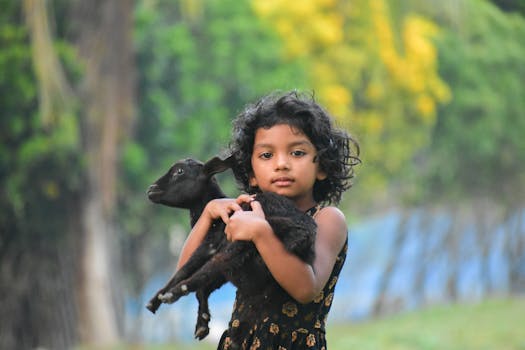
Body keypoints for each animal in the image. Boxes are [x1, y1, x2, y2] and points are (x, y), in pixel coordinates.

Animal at [144, 156, 316, 342]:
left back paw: (174, 294)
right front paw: (202, 324)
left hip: (239, 243)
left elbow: (184, 270)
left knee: (209, 269)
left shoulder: (209, 246)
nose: (151, 189)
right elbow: (204, 288)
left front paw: (156, 300)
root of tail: (305, 239)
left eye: (179, 171)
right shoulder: (229, 272)